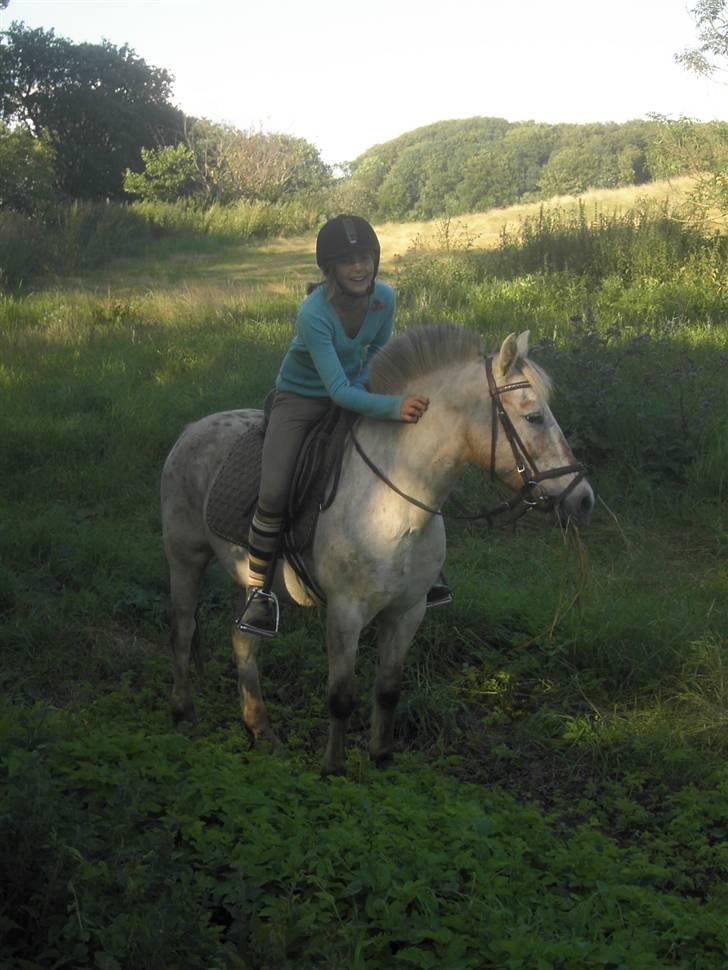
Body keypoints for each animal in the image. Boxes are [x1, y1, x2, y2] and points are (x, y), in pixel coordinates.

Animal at [159, 324, 592, 772]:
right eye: (534, 417)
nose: (582, 500)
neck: (393, 499)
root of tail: (192, 429)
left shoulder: (407, 611)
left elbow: (387, 690)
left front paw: (381, 758)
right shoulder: (345, 613)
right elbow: (340, 697)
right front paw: (333, 770)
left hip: (249, 578)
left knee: (244, 639)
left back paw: (260, 729)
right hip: (185, 558)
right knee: (182, 627)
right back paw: (183, 711)